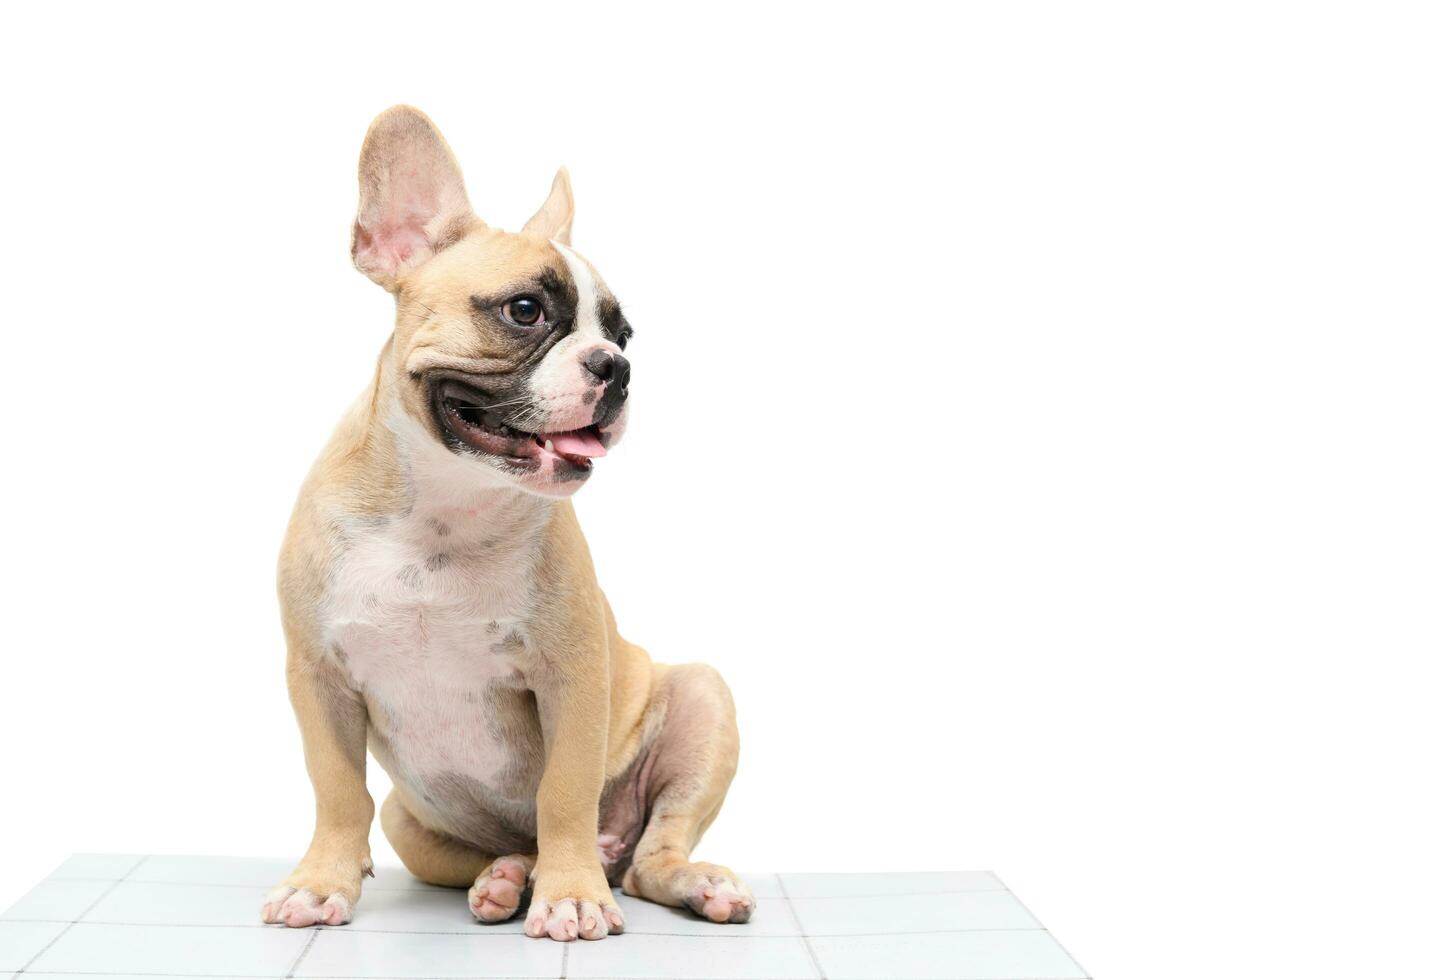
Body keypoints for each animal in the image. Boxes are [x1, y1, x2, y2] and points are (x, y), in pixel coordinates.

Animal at [260, 107, 748, 942]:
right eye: (525, 311)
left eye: (624, 334)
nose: (616, 367)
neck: (446, 509)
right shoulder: (317, 676)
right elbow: (337, 790)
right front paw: (321, 882)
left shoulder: (572, 677)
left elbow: (564, 793)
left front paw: (573, 894)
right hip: (409, 821)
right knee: (475, 848)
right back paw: (506, 877)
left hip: (702, 702)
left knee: (650, 854)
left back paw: (674, 881)